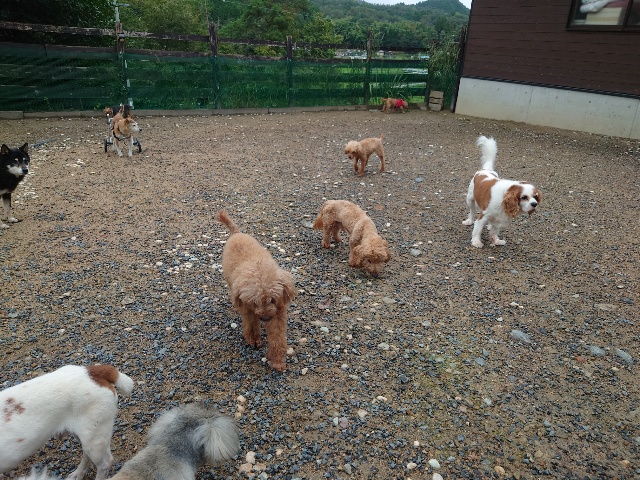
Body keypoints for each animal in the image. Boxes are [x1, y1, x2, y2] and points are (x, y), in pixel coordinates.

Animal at [0, 364, 134, 480]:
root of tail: (91, 371)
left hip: (95, 439)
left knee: (105, 463)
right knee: (86, 454)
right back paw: (78, 474)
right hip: (82, 435)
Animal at [216, 211, 296, 372]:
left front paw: (277, 361)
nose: (265, 318)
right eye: (255, 302)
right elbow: (252, 326)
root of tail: (236, 233)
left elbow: (277, 338)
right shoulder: (248, 309)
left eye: (272, 299)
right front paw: (254, 341)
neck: (257, 267)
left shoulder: (277, 313)